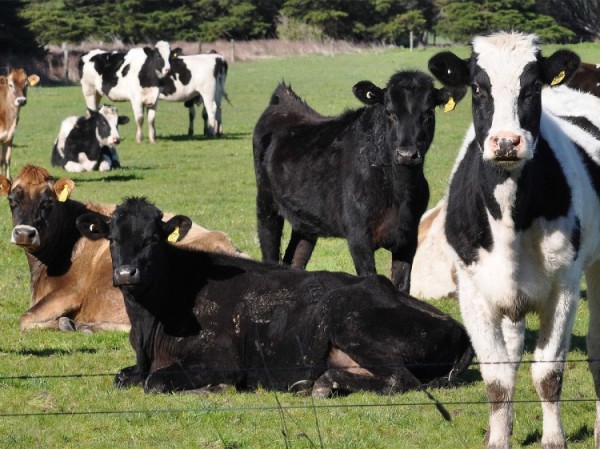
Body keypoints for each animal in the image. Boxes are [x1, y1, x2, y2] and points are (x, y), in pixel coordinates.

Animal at [0, 164, 246, 332]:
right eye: (11, 200)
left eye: (48, 202)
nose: (24, 233)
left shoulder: (70, 292)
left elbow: (25, 318)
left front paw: (65, 323)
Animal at [76, 198, 474, 394]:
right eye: (112, 238)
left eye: (153, 239)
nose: (126, 274)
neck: (150, 324)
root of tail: (457, 326)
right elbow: (125, 377)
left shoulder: (221, 359)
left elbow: (155, 382)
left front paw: (215, 389)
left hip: (351, 323)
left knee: (400, 381)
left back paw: (323, 384)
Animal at [252, 72, 460, 292]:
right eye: (389, 112)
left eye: (428, 113)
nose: (406, 154)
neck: (398, 191)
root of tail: (284, 102)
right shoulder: (359, 236)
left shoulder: (408, 237)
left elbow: (402, 286)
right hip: (266, 205)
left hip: (305, 220)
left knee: (296, 259)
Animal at [426, 29, 600, 446]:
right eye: (477, 87)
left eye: (533, 86)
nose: (506, 142)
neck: (510, 221)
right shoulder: (473, 292)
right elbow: (498, 379)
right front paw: (498, 438)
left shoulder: (564, 289)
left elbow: (548, 374)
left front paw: (553, 439)